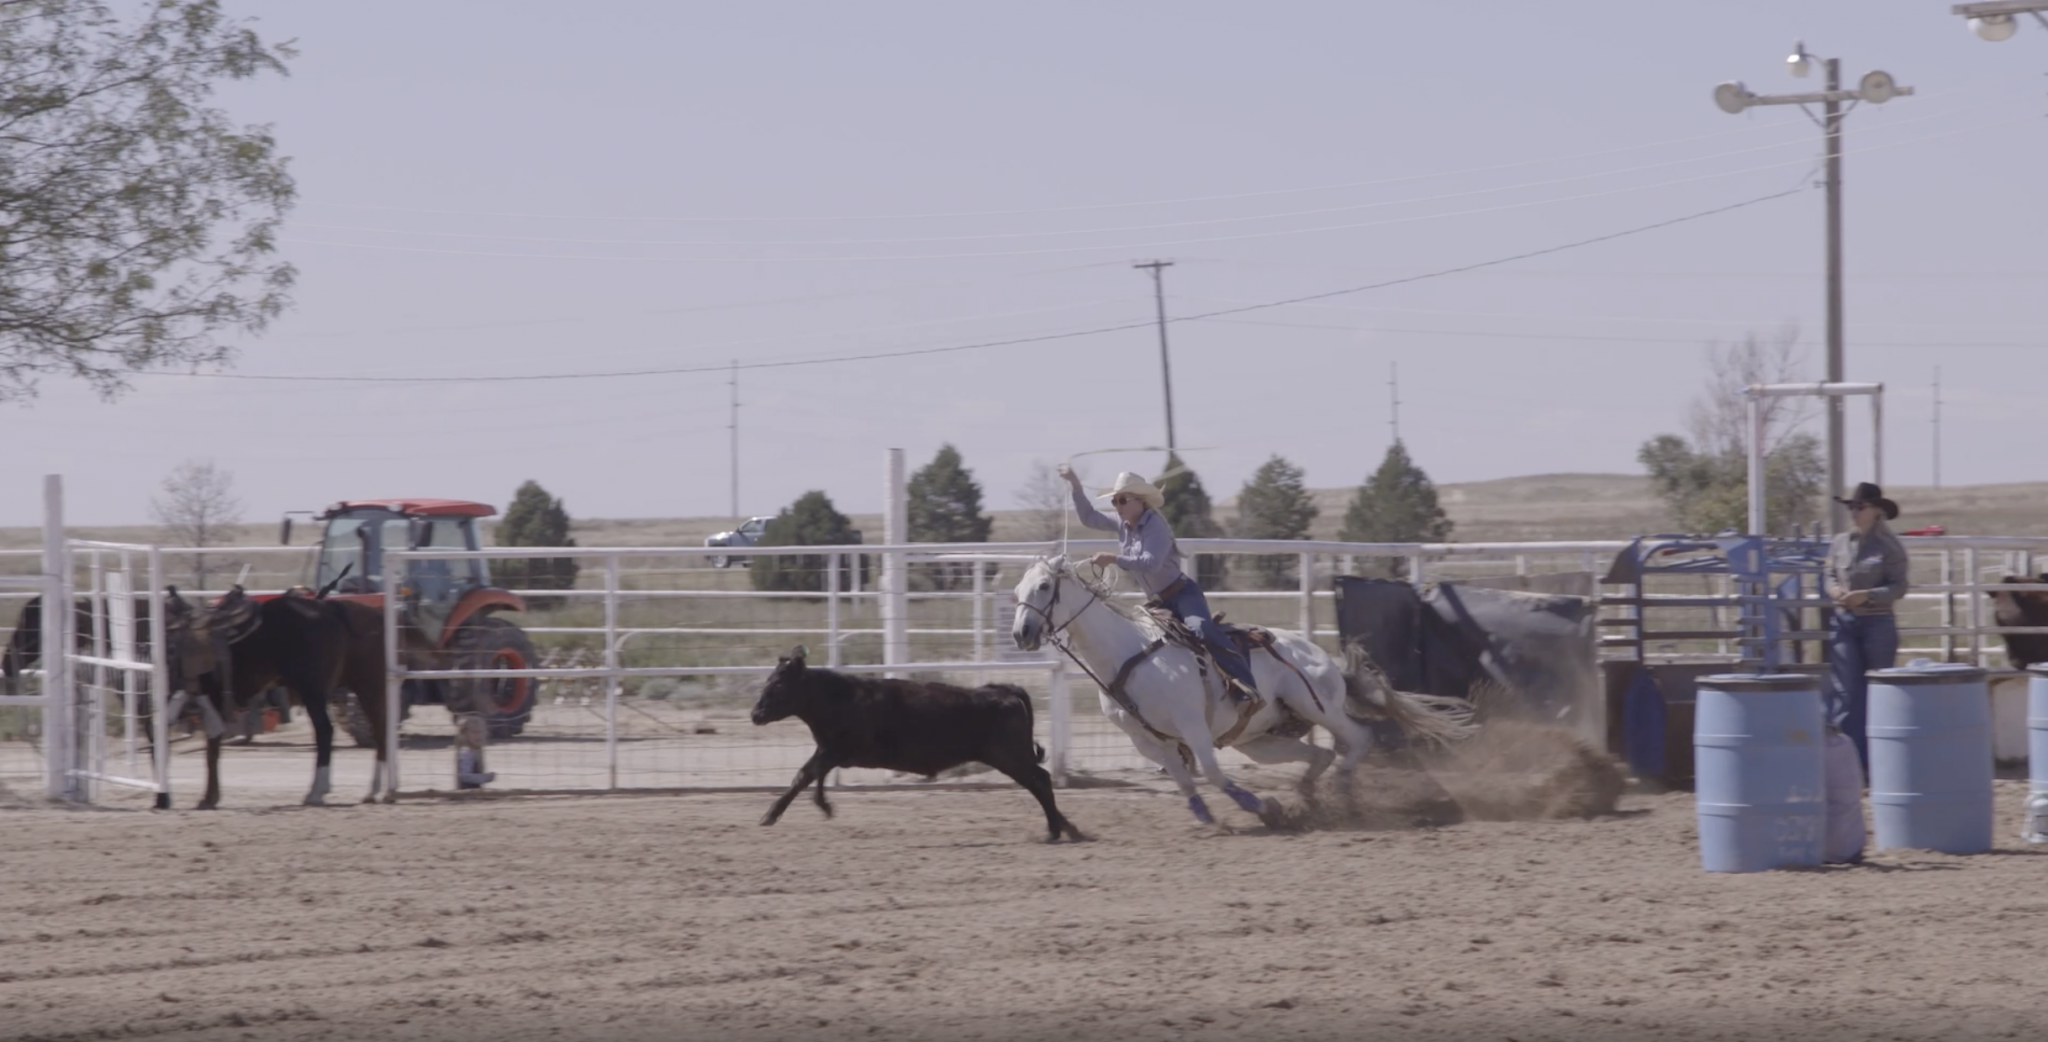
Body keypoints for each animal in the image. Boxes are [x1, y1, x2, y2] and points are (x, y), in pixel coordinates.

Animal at [1011, 556, 1474, 822]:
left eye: (1045, 587)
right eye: (1017, 589)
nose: (1021, 634)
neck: (1128, 652)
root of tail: (1323, 656)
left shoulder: (1192, 725)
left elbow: (1211, 772)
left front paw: (1260, 806)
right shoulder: (1144, 738)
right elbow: (1182, 776)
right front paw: (1204, 814)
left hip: (1318, 706)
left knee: (1358, 739)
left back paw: (1340, 793)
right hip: (1261, 741)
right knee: (1320, 754)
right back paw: (1307, 799)